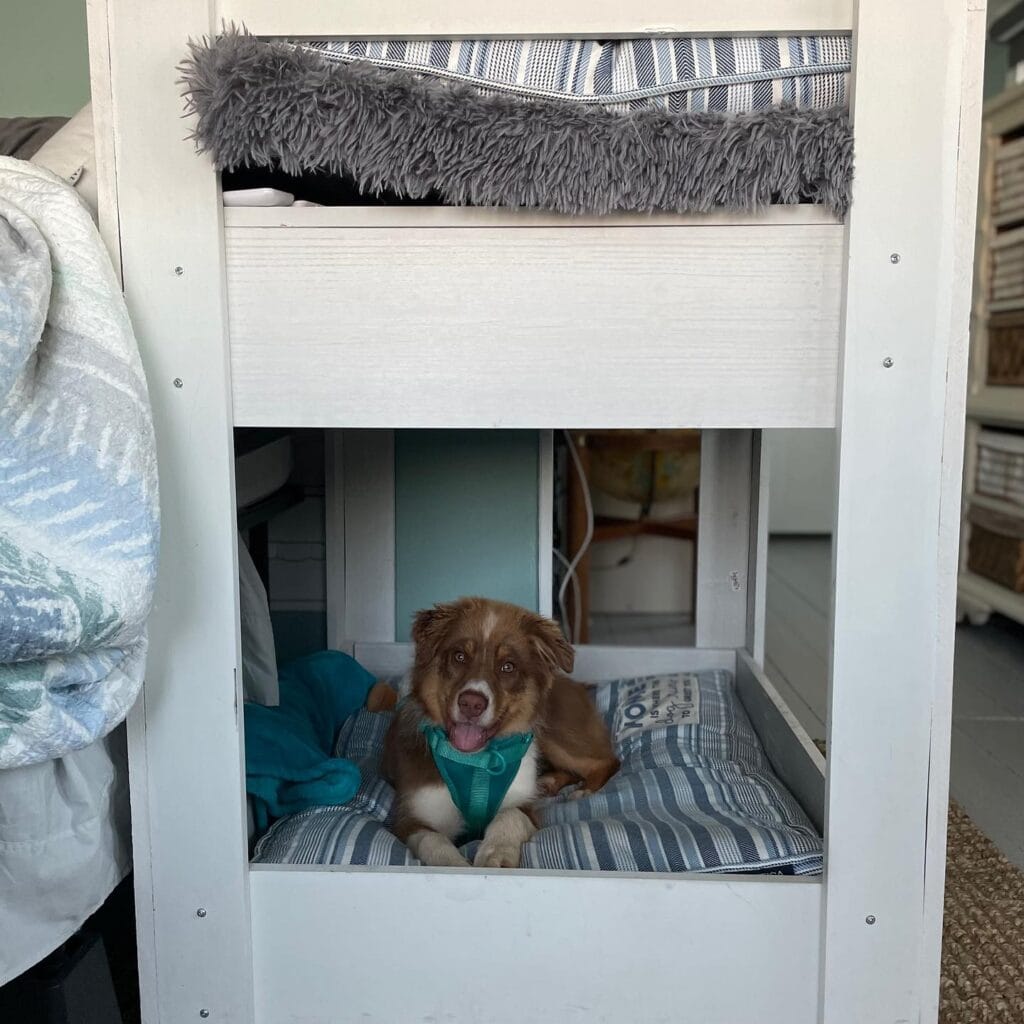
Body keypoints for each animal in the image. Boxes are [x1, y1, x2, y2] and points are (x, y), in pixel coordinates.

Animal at [381, 597, 619, 868]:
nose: (471, 704)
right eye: (459, 656)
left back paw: (584, 789)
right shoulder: (410, 819)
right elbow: (432, 841)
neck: (476, 761)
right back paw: (548, 782)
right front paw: (455, 865)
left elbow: (509, 815)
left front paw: (496, 853)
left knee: (606, 761)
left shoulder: (525, 807)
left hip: (555, 736)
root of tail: (576, 684)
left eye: (508, 667)